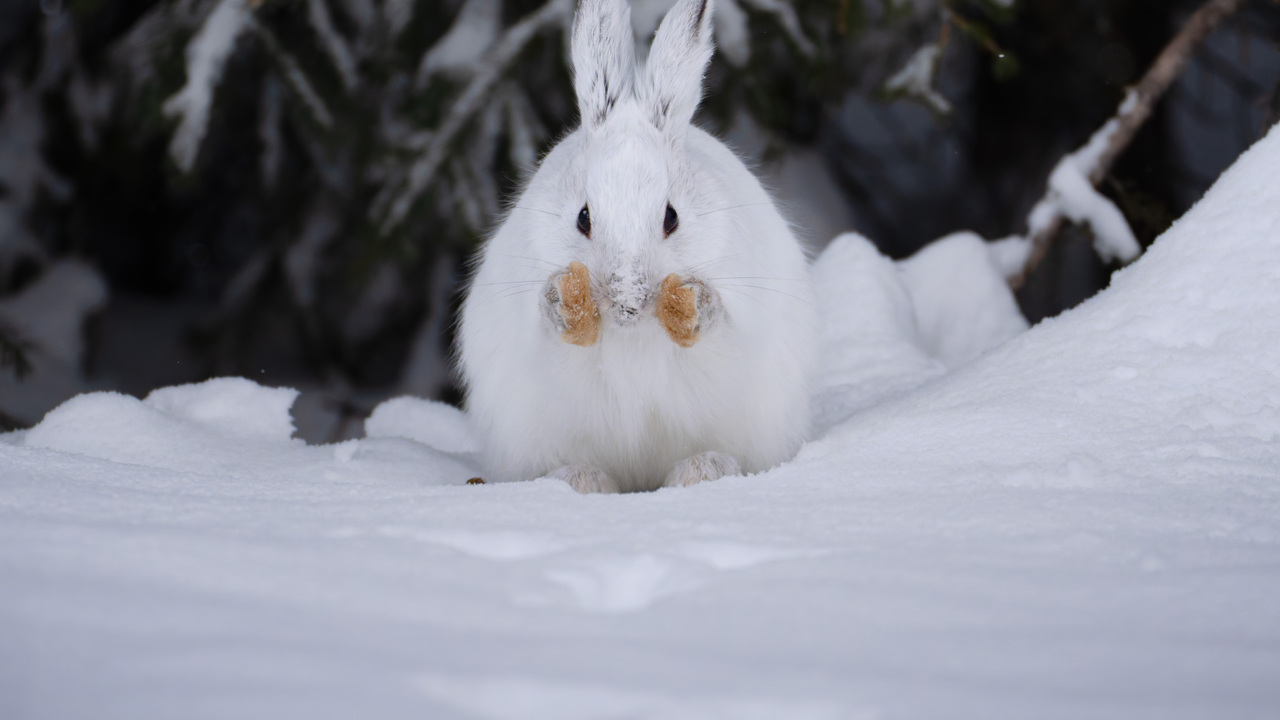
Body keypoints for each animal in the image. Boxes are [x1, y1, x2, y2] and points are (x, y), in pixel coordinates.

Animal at [457, 0, 818, 493]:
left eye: (672, 217)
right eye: (583, 218)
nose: (628, 303)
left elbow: (722, 328)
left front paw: (695, 307)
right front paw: (562, 305)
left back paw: (702, 470)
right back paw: (581, 480)